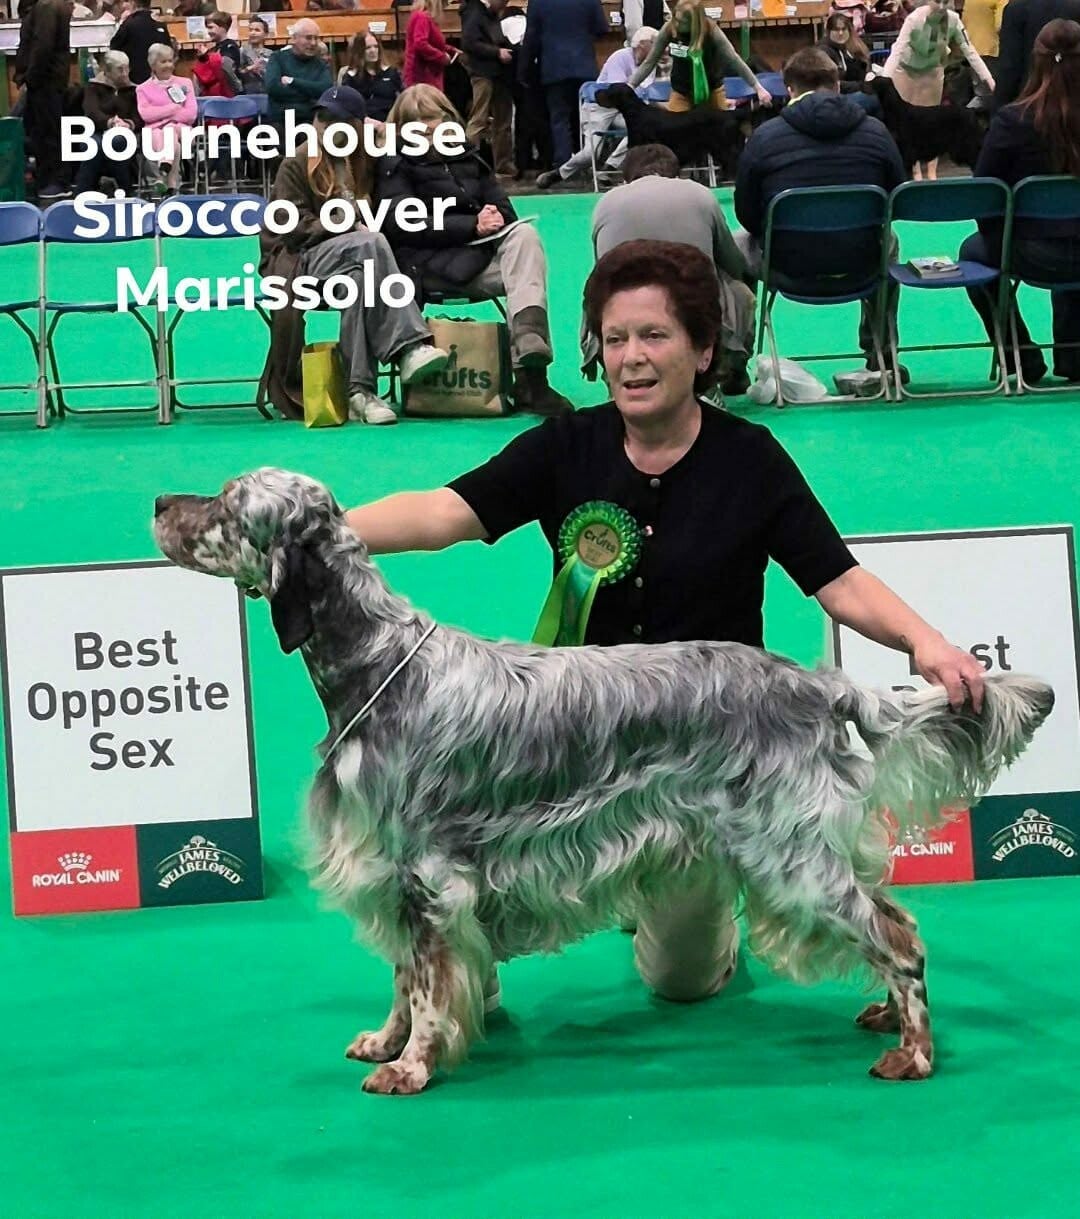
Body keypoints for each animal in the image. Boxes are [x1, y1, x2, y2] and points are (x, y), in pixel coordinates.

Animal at [154, 468, 1054, 1095]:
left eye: (227, 504)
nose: (160, 499)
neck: (377, 664)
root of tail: (815, 682)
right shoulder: (392, 872)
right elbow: (405, 979)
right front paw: (386, 1038)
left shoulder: (429, 875)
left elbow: (429, 983)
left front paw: (411, 1066)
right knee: (893, 917)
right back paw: (882, 1015)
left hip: (791, 855)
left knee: (898, 936)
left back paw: (913, 1052)